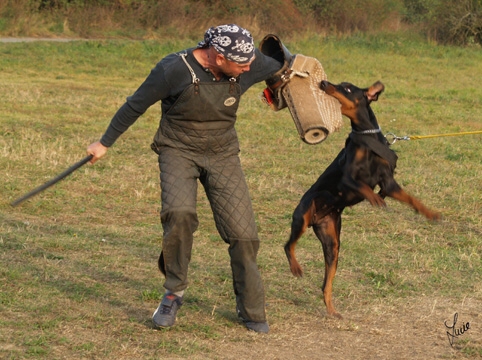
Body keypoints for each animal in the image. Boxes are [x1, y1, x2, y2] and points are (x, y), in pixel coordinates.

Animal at [286, 79, 440, 318]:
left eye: (347, 88)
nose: (323, 82)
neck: (367, 134)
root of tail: (317, 219)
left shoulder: (388, 182)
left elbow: (413, 200)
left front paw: (431, 214)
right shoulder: (348, 178)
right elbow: (363, 186)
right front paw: (376, 200)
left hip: (333, 244)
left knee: (325, 283)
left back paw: (332, 310)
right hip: (302, 217)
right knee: (288, 246)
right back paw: (296, 267)